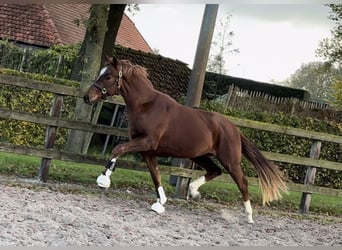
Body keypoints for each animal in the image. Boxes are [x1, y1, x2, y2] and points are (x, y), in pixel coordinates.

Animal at [84, 56, 288, 223]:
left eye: (108, 76)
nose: (87, 97)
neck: (147, 106)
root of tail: (234, 129)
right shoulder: (148, 151)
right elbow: (155, 175)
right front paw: (160, 204)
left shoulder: (147, 142)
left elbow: (118, 148)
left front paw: (103, 180)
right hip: (199, 155)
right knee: (215, 171)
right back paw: (193, 192)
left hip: (230, 160)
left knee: (242, 182)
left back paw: (249, 216)